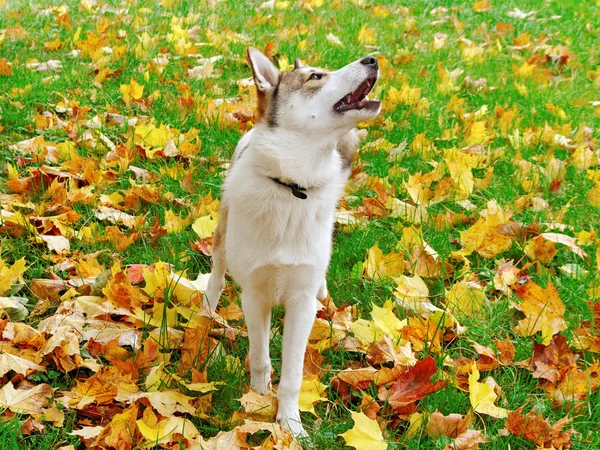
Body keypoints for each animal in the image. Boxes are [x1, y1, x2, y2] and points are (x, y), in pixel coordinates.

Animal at [205, 46, 380, 436]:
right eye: (315, 77)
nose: (373, 59)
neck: (292, 187)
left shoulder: (300, 302)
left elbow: (293, 376)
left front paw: (290, 424)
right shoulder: (255, 295)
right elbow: (259, 357)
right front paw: (256, 400)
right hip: (223, 233)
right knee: (217, 272)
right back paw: (207, 309)